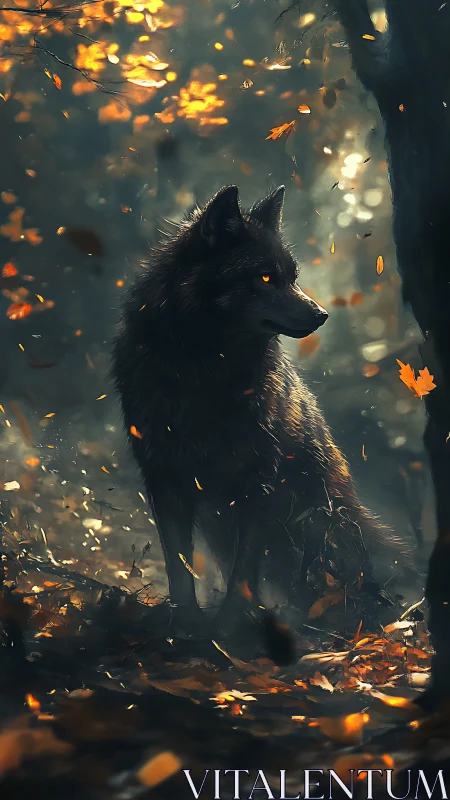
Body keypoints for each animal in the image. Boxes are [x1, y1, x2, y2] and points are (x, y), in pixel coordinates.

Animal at [112, 185, 410, 636]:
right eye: (265, 277)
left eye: (292, 277)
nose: (322, 314)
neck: (205, 372)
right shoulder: (164, 477)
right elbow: (179, 563)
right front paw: (185, 623)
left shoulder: (259, 477)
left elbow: (245, 566)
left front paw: (231, 625)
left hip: (324, 519)